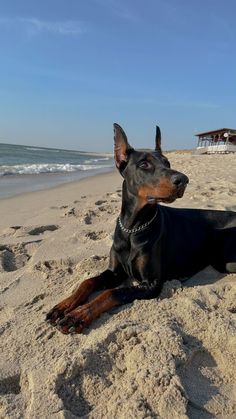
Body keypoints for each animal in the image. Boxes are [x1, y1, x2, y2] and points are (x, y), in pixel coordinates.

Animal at [46, 124, 236, 334]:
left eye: (167, 163)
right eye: (144, 164)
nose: (184, 179)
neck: (133, 228)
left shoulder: (151, 284)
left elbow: (111, 293)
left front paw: (78, 315)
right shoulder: (115, 272)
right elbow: (87, 282)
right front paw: (64, 305)